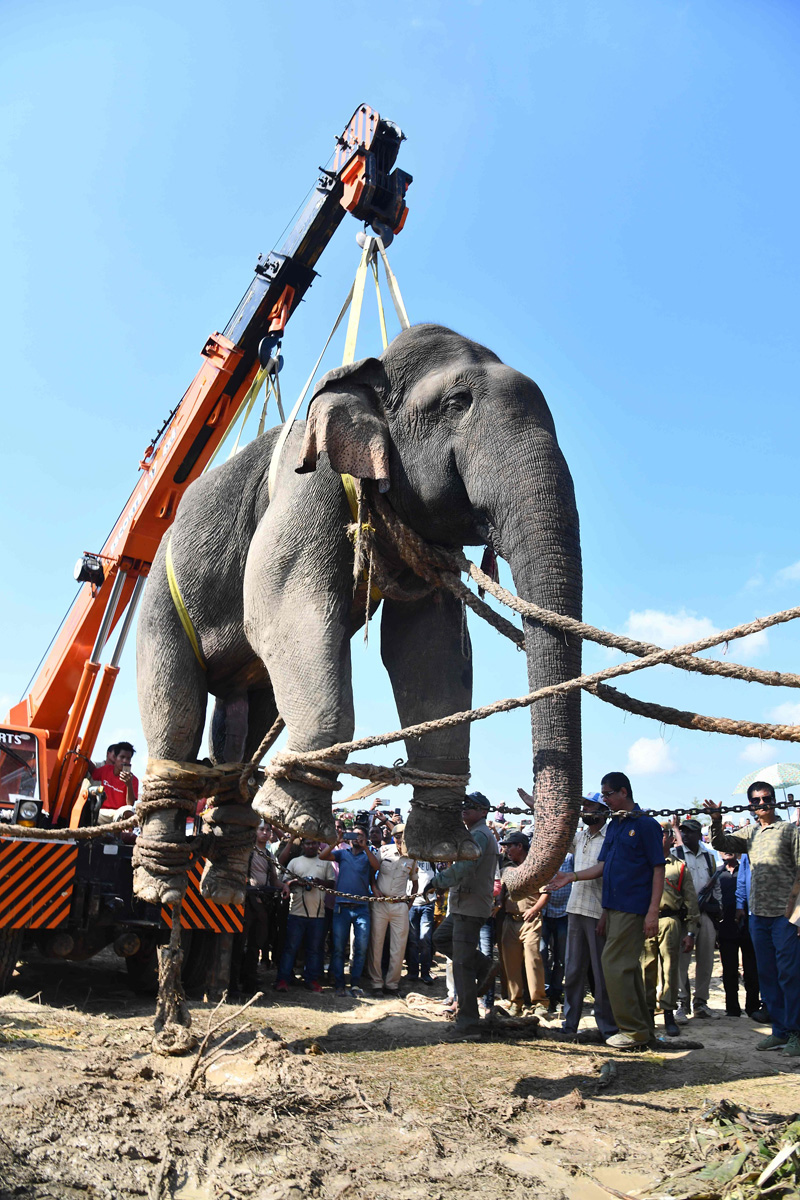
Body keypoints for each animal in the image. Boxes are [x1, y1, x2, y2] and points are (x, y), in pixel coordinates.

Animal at [133, 324, 582, 902]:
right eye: (457, 403)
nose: (510, 879)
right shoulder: (312, 482)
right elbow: (280, 601)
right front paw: (296, 821)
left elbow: (428, 649)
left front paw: (442, 848)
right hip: (160, 604)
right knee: (177, 709)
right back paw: (161, 886)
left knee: (248, 720)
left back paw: (226, 886)